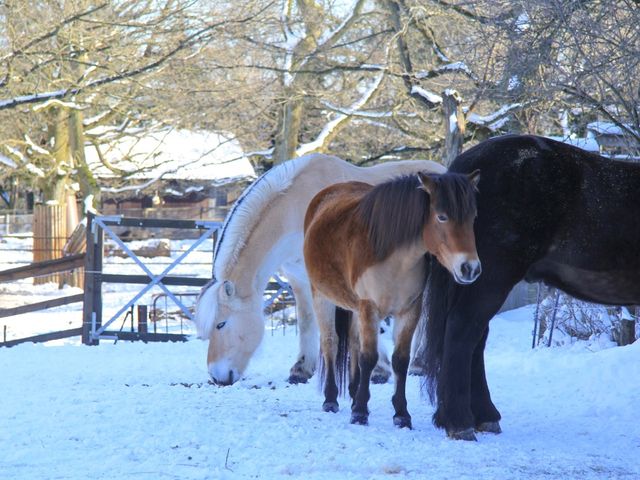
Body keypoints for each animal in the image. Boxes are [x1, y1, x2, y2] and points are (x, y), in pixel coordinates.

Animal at [195, 154, 444, 386]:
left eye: (221, 324)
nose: (216, 377)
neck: (296, 208)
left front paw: (379, 369)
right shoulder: (299, 277)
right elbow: (307, 320)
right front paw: (302, 368)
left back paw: (419, 364)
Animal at [304, 172, 480, 428]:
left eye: (472, 217)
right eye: (442, 217)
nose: (470, 268)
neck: (394, 260)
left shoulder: (409, 311)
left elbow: (400, 360)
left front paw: (401, 413)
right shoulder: (370, 307)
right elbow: (369, 357)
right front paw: (360, 412)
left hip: (354, 307)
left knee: (354, 343)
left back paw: (354, 392)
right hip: (321, 295)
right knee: (330, 343)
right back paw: (331, 399)